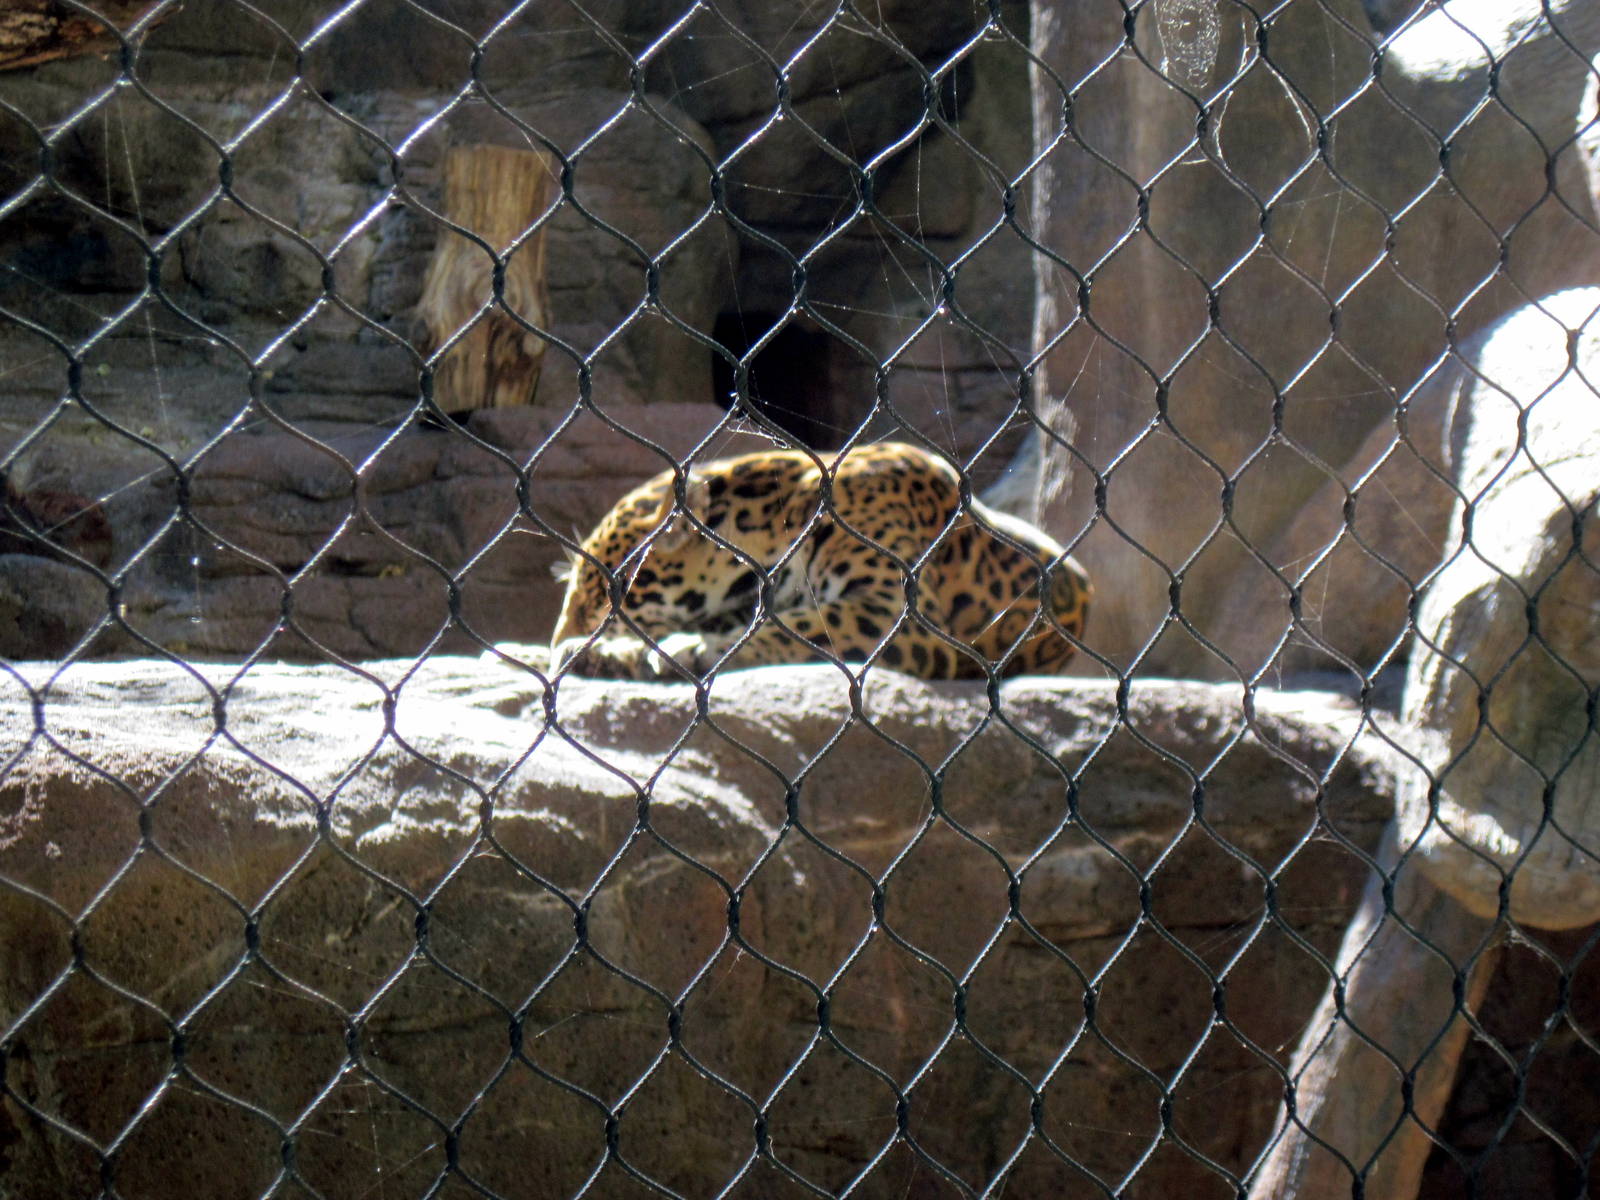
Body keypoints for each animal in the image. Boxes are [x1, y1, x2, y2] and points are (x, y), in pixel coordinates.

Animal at [548, 441, 1091, 680]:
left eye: (598, 596)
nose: (555, 645)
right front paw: (602, 654)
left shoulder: (897, 611)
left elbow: (797, 625)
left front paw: (695, 649)